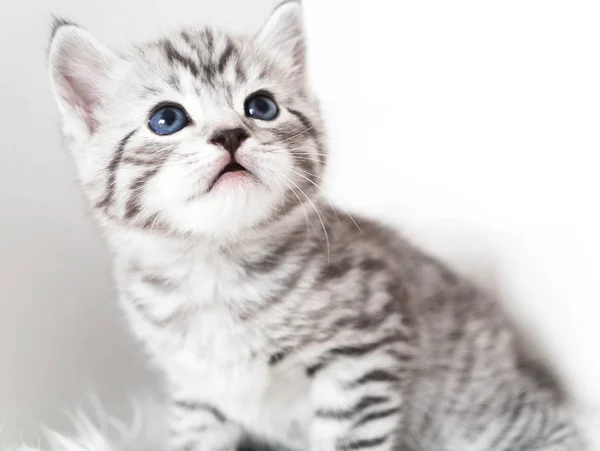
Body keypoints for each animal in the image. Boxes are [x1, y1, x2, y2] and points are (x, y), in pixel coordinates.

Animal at [49, 0, 584, 451]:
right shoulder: (195, 389)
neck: (214, 269)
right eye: (166, 118)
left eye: (261, 106)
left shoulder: (367, 350)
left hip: (475, 413)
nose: (230, 134)